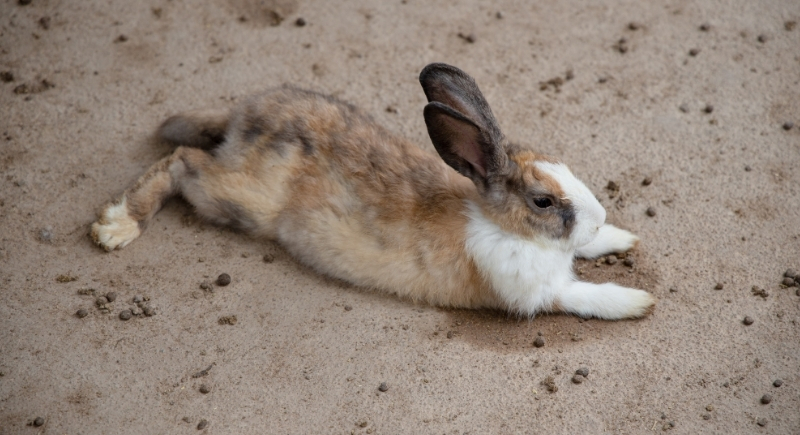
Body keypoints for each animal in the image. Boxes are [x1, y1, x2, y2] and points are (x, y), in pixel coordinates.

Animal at [91, 63, 655, 319]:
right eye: (542, 201)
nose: (597, 216)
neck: (502, 223)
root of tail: (243, 118)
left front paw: (621, 239)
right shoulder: (536, 292)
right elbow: (584, 294)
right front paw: (638, 301)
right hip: (235, 196)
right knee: (181, 163)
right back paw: (116, 226)